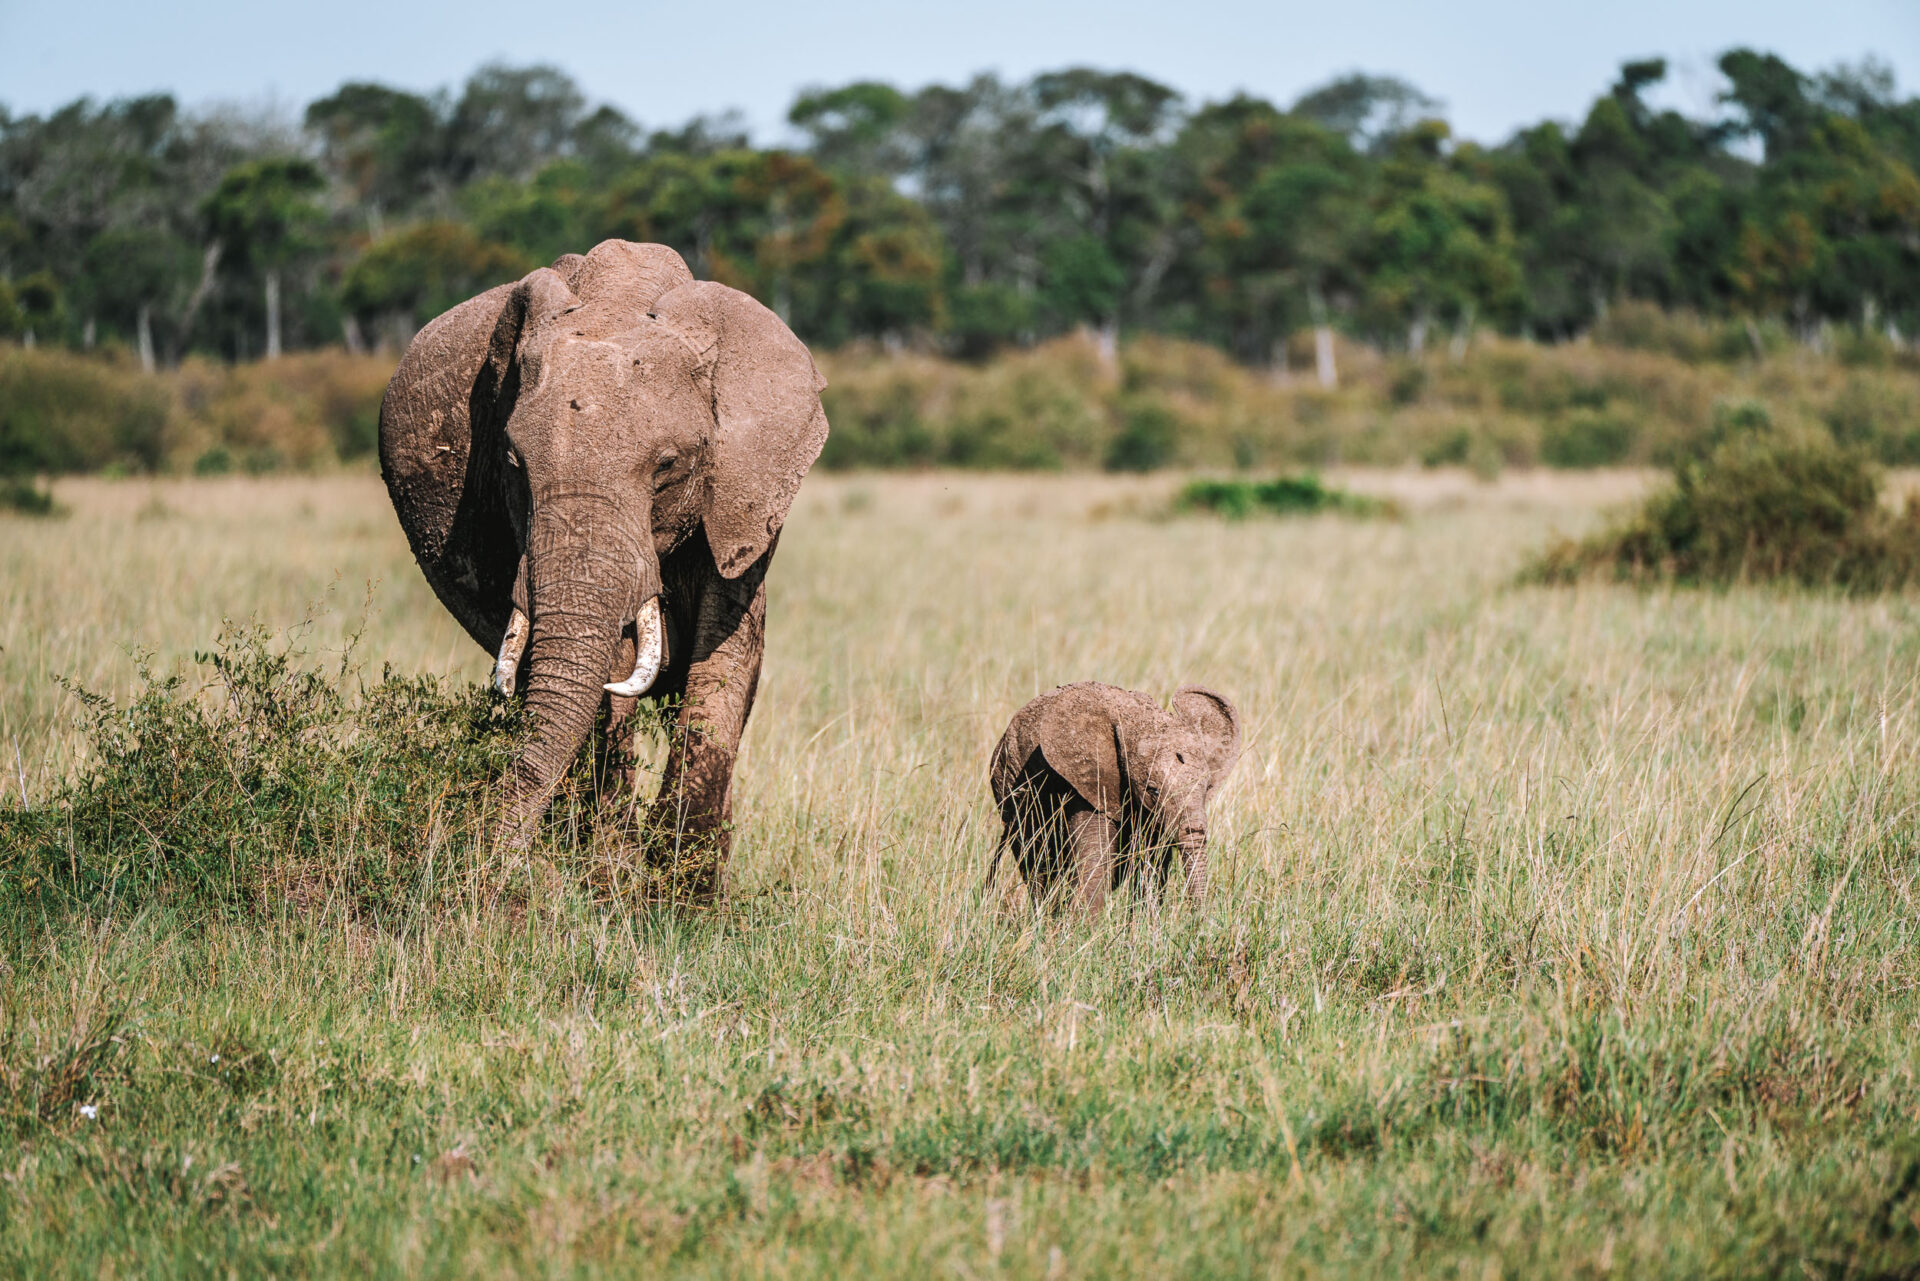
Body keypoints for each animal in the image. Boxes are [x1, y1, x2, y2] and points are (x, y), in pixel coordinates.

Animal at [378, 240, 829, 902]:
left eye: (668, 464)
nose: (484, 863)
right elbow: (606, 685)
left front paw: (683, 900)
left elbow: (722, 663)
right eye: (512, 461)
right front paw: (611, 883)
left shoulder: (745, 495)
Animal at [990, 679, 1244, 910]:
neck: (1137, 722)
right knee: (1038, 867)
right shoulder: (1088, 782)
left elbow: (1152, 866)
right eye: (1153, 790)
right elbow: (1096, 862)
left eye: (1206, 788)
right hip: (1009, 784)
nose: (1198, 921)